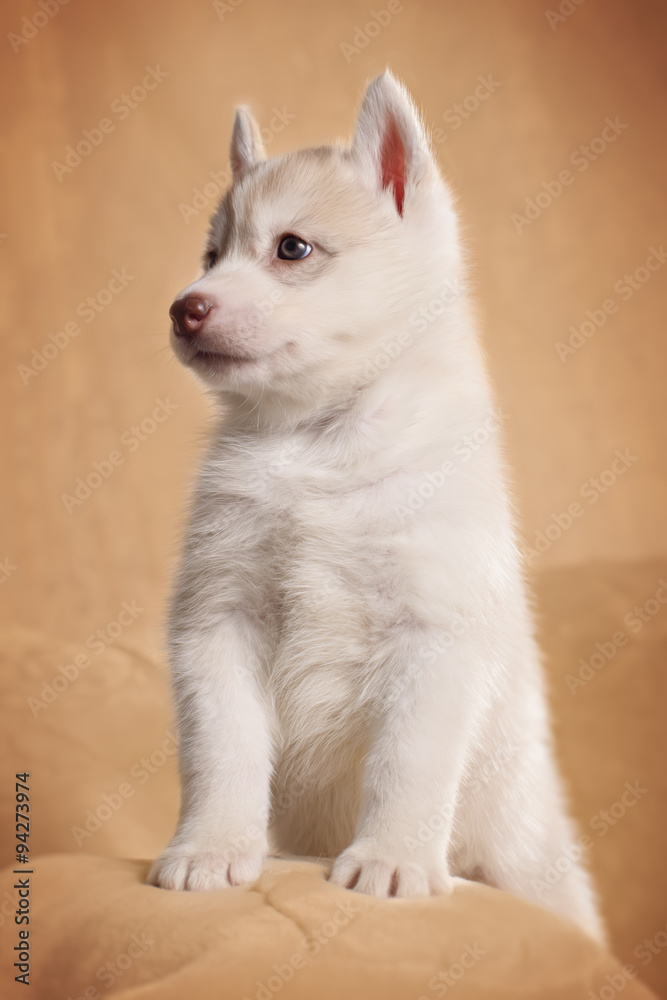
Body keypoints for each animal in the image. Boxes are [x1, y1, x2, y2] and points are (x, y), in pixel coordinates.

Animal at [150, 72, 604, 944]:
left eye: (291, 248)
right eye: (211, 255)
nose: (184, 307)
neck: (318, 442)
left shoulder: (433, 634)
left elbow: (407, 763)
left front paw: (392, 860)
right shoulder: (218, 619)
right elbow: (222, 750)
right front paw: (210, 848)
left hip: (533, 863)